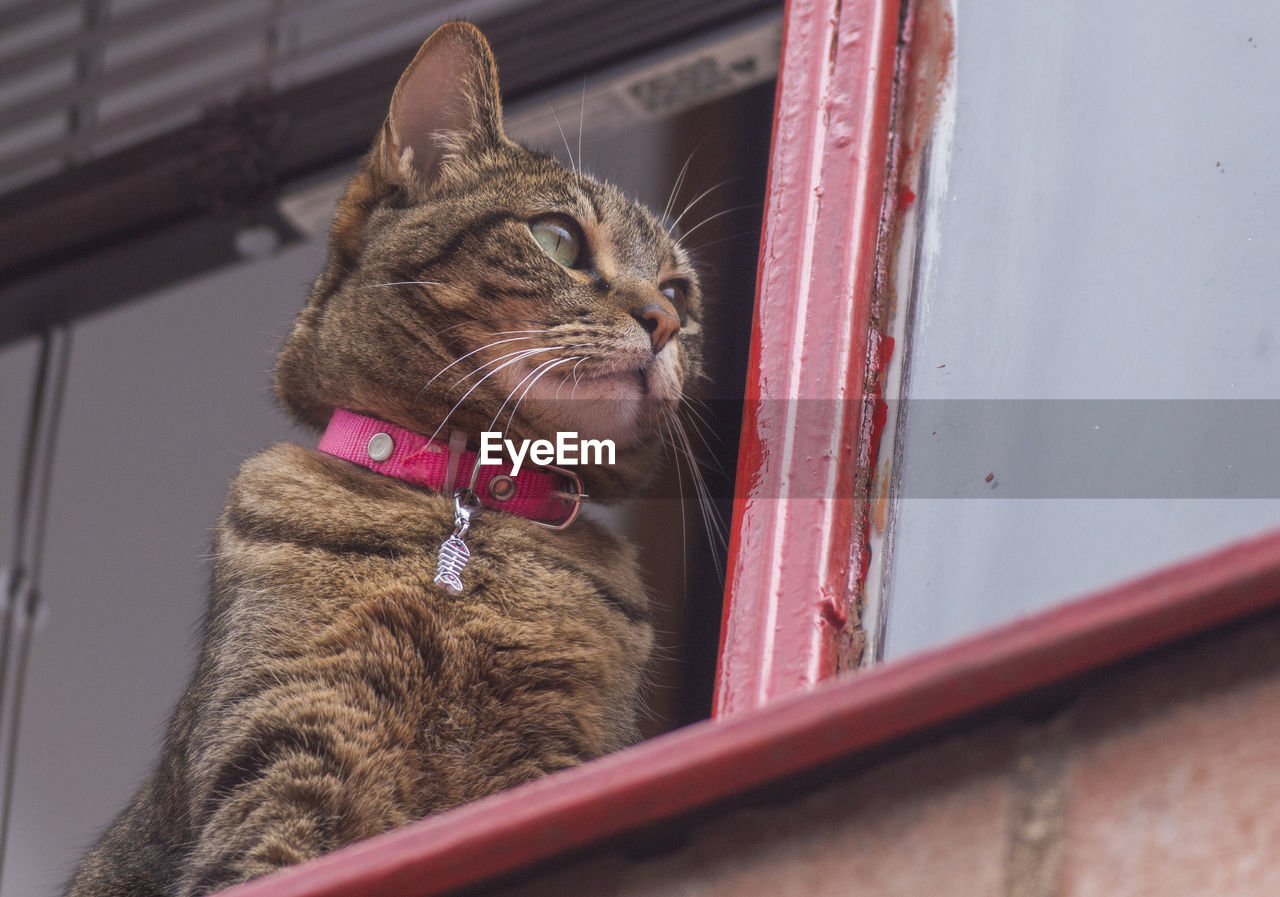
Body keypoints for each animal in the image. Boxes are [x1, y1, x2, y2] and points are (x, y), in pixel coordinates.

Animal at [66, 20, 706, 895]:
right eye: (558, 238)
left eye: (679, 292)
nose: (662, 322)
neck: (468, 507)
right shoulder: (285, 744)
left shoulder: (558, 758)